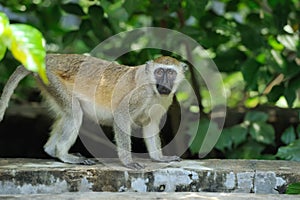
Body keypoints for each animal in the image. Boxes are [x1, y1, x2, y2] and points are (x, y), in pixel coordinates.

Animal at [0, 54, 186, 169]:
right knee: (75, 113)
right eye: (159, 72)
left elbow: (151, 124)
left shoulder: (164, 100)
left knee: (67, 113)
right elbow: (121, 116)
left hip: (47, 82)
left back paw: (51, 150)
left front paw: (159, 158)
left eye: (170, 73)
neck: (154, 90)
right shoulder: (141, 93)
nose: (164, 84)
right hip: (52, 78)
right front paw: (127, 162)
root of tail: (51, 58)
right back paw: (62, 153)